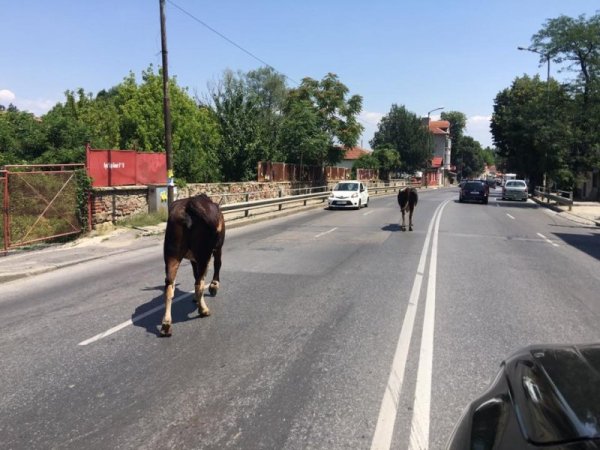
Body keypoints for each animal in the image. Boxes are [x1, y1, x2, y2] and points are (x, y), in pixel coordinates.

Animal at [159, 194, 225, 338]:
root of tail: (189, 207)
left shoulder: (193, 260)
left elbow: (195, 274)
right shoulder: (218, 248)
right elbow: (217, 264)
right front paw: (214, 286)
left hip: (171, 253)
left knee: (169, 285)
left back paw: (166, 324)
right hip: (203, 253)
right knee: (200, 282)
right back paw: (204, 310)